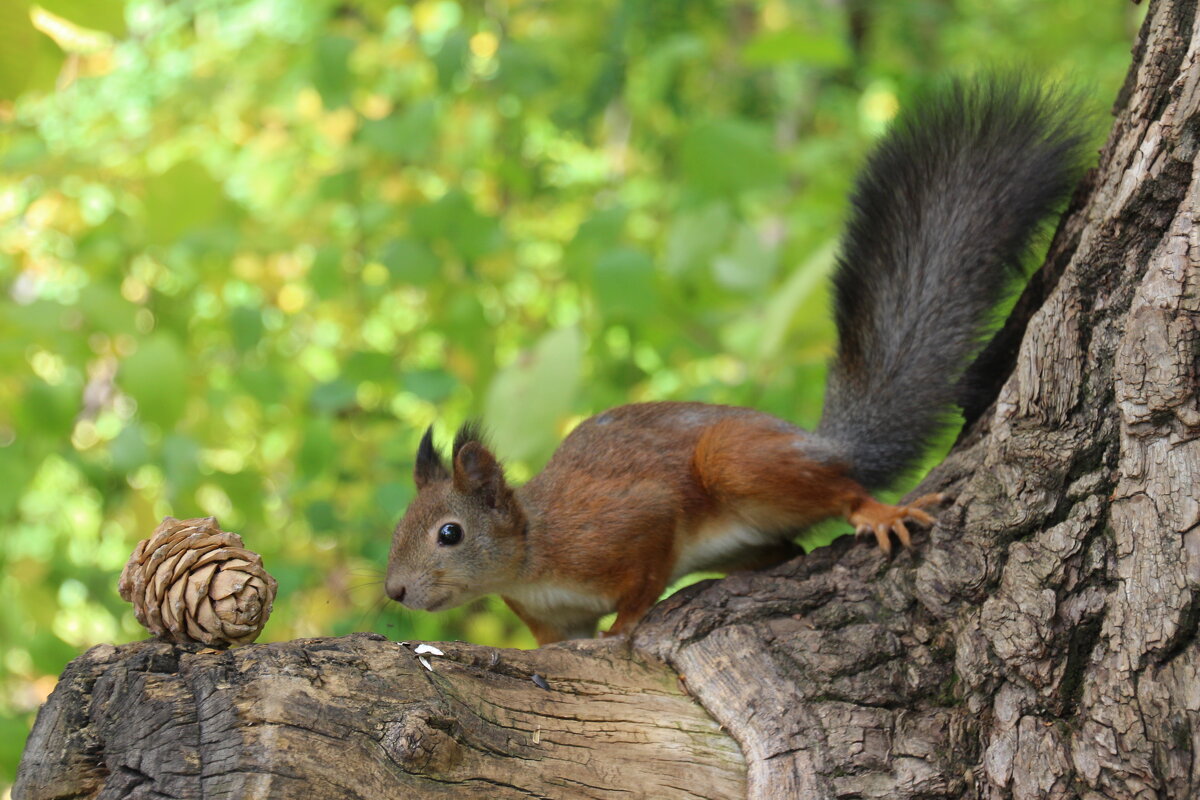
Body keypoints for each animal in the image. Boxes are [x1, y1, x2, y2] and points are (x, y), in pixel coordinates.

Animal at [384, 77, 1089, 647]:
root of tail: (821, 442)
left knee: (840, 489)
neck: (531, 553)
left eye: (449, 533)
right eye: (400, 525)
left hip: (736, 460)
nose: (393, 591)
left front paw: (625, 624)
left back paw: (874, 511)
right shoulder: (553, 619)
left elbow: (646, 571)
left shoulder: (624, 526)